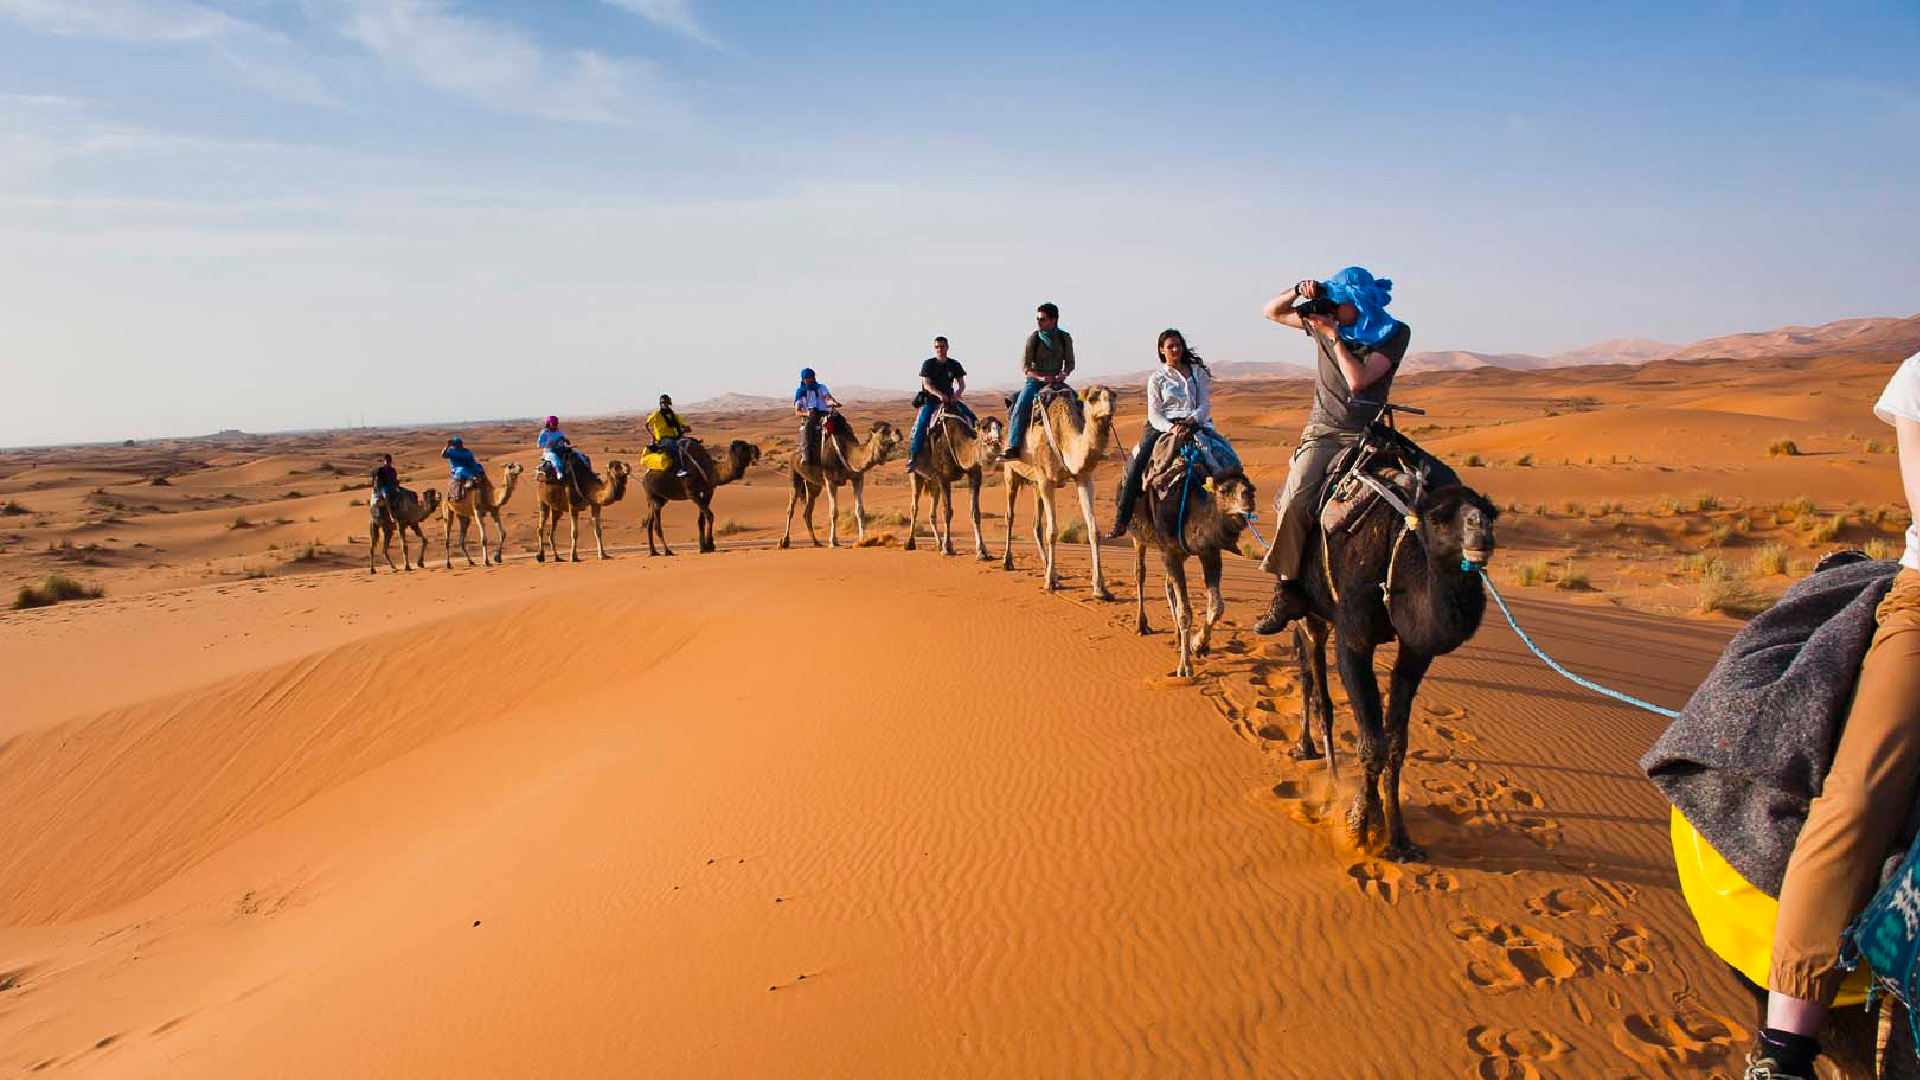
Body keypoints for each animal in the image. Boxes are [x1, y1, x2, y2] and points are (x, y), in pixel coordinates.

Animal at [778, 415, 901, 549]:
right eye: (883, 430)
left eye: (890, 426)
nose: (898, 432)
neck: (847, 453)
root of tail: (794, 453)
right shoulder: (830, 480)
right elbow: (834, 512)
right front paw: (832, 542)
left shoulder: (857, 478)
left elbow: (860, 511)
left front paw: (862, 540)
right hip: (794, 475)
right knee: (791, 509)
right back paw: (785, 541)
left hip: (813, 485)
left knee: (807, 512)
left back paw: (816, 542)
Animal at [905, 411, 1004, 559]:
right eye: (984, 427)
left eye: (1000, 425)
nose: (997, 439)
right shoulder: (944, 477)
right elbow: (947, 512)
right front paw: (947, 549)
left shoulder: (974, 474)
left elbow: (975, 512)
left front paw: (981, 551)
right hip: (916, 474)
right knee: (914, 507)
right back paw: (910, 543)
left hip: (933, 481)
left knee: (932, 512)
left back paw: (938, 543)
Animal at [1000, 384, 1117, 598]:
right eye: (1093, 397)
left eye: (1114, 395)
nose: (1110, 406)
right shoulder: (1047, 480)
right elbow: (1053, 532)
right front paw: (1050, 583)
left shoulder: (1083, 476)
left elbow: (1093, 531)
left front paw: (1100, 588)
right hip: (1011, 472)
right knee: (1010, 515)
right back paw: (1009, 561)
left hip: (1035, 482)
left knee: (1036, 524)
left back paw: (1049, 567)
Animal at [1124, 452, 1258, 678]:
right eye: (1224, 490)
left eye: (1251, 487)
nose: (1249, 498)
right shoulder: (1170, 552)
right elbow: (1186, 612)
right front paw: (1185, 667)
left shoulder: (1208, 551)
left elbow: (1216, 607)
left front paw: (1198, 645)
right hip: (1139, 538)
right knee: (1140, 573)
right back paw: (1141, 625)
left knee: (1168, 586)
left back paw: (1178, 639)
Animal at [1285, 476, 1498, 862]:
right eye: (1439, 518)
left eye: (1492, 512)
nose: (1481, 530)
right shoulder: (1353, 638)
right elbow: (1372, 745)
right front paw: (1358, 827)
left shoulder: (1415, 652)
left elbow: (1396, 744)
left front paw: (1398, 839)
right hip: (1312, 608)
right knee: (1316, 680)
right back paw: (1326, 778)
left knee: (1306, 665)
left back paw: (1308, 750)